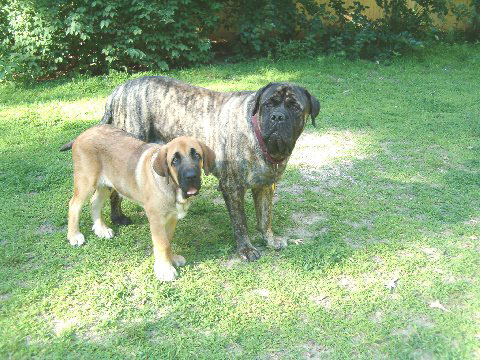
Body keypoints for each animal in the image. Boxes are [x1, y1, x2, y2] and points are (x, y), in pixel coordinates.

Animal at [61, 124, 215, 282]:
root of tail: (84, 133)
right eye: (175, 160)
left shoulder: (172, 217)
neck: (173, 188)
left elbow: (168, 240)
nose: (191, 176)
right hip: (86, 182)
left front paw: (171, 259)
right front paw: (165, 269)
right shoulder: (156, 219)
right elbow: (163, 244)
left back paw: (101, 229)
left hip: (106, 184)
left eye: (197, 155)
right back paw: (74, 235)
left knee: (95, 203)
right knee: (74, 206)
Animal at [100, 77, 318, 260]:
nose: (278, 117)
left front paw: (270, 240)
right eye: (268, 104)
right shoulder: (233, 188)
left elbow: (265, 218)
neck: (258, 136)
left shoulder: (265, 186)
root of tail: (119, 89)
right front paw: (246, 249)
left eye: (295, 107)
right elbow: (241, 222)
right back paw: (117, 217)